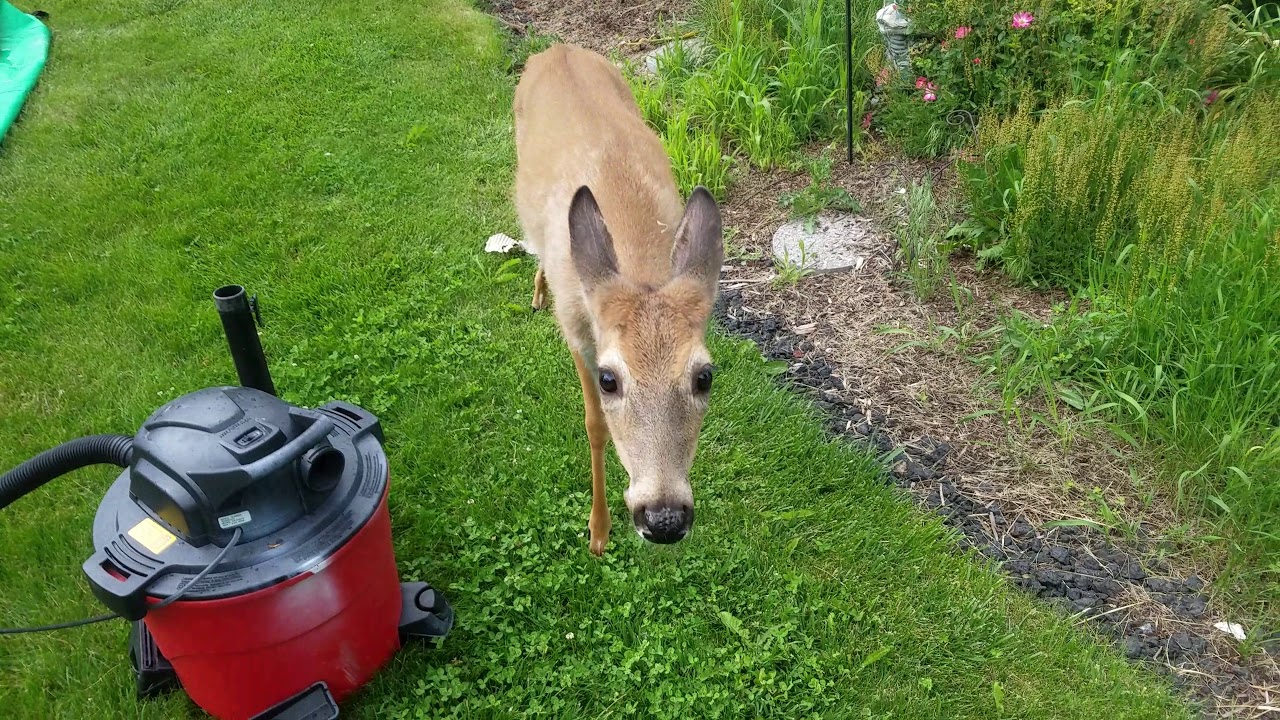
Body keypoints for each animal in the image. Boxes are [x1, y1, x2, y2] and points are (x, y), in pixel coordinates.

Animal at [512, 44, 724, 556]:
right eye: (609, 379)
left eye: (705, 376)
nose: (664, 518)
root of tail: (555, 48)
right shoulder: (576, 331)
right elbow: (595, 425)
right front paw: (598, 530)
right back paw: (538, 290)